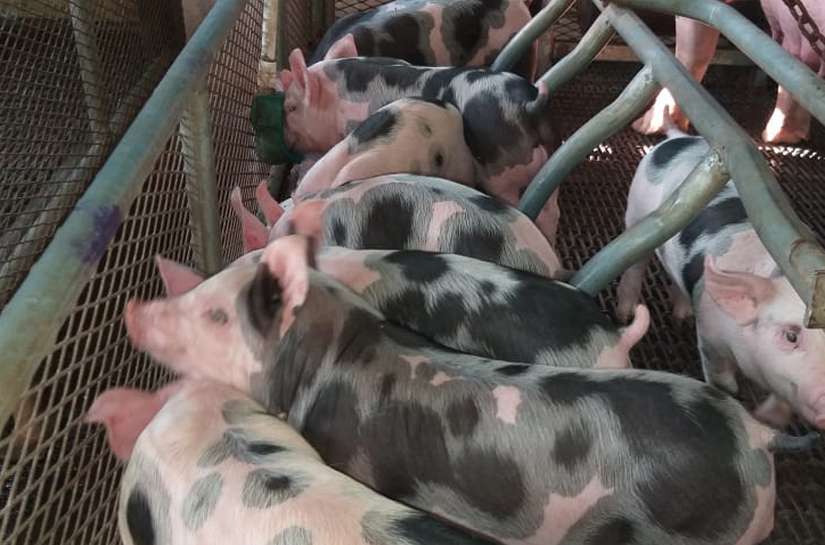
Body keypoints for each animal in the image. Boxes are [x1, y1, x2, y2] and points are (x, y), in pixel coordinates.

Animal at [617, 130, 825, 430]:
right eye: (791, 335)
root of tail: (678, 137)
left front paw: (768, 417)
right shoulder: (710, 336)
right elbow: (722, 382)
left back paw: (681, 317)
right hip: (635, 212)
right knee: (635, 263)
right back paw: (625, 314)